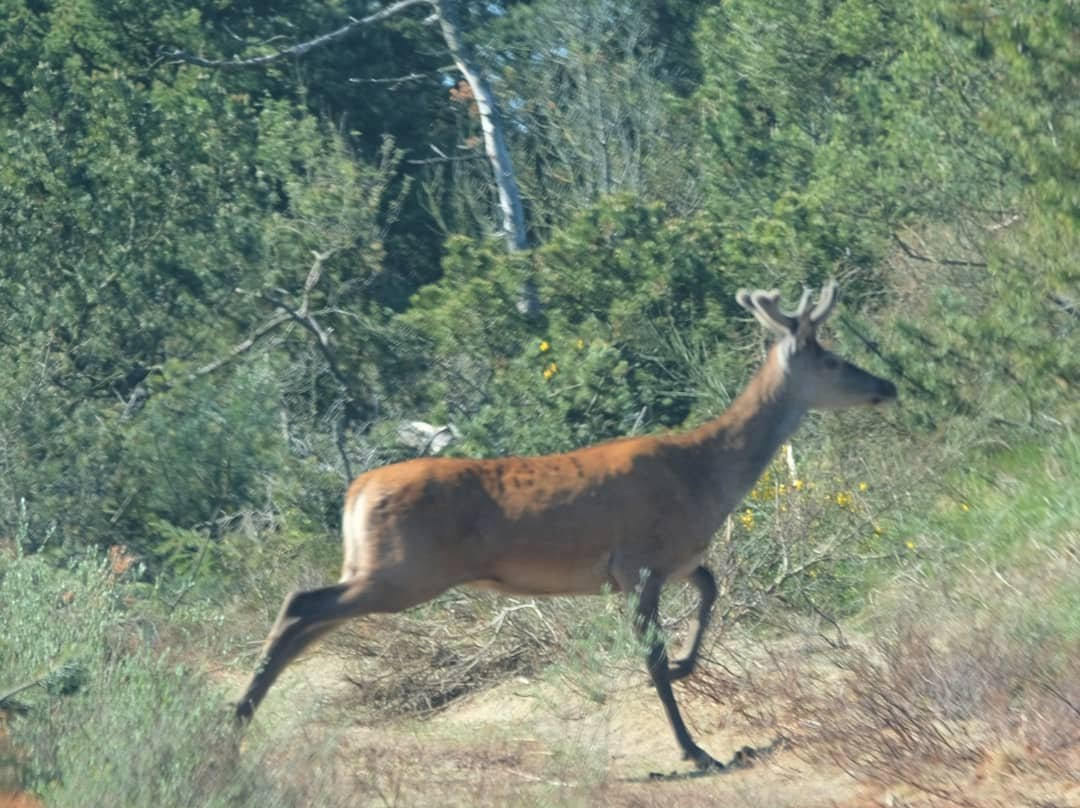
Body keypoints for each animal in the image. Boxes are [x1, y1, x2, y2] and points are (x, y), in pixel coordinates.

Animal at [236, 283, 894, 769]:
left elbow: (710, 589)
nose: (886, 384)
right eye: (832, 358)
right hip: (403, 571)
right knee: (301, 605)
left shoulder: (674, 559)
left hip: (378, 569)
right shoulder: (638, 561)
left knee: (307, 619)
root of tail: (355, 491)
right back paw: (239, 718)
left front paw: (689, 667)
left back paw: (242, 717)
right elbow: (653, 657)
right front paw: (694, 749)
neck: (704, 473)